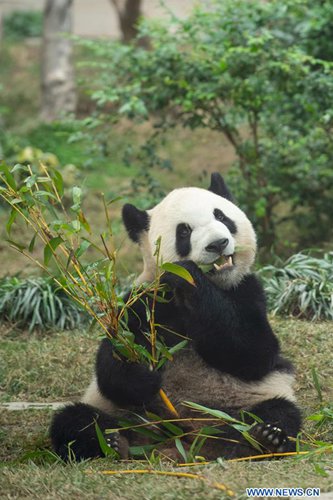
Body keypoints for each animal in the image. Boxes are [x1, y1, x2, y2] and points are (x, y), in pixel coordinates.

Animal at [50, 173, 300, 460]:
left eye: (221, 216)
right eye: (184, 232)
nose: (218, 244)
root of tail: (182, 437)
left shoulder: (247, 292)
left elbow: (254, 353)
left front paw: (190, 278)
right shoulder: (141, 303)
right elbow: (112, 366)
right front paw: (144, 374)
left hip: (247, 399)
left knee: (277, 412)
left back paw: (262, 438)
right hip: (123, 412)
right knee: (76, 420)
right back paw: (110, 443)